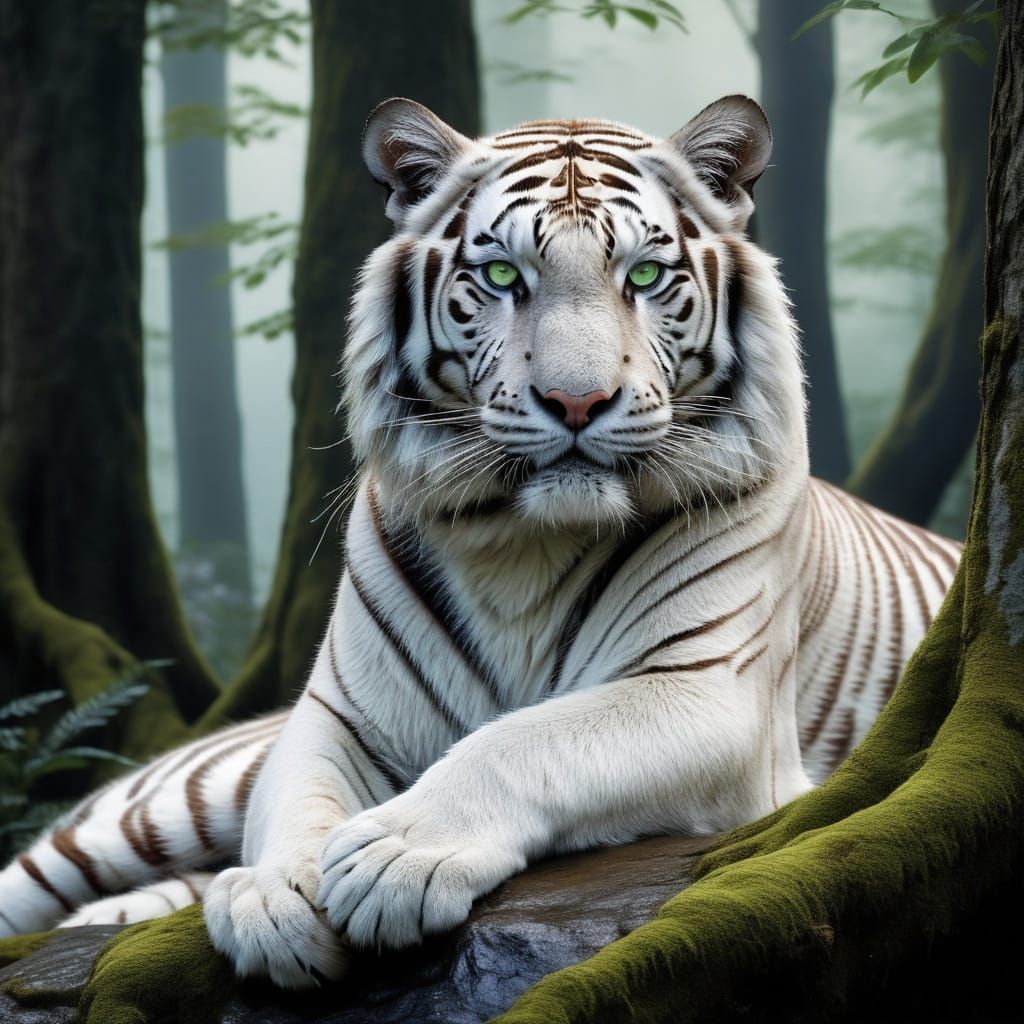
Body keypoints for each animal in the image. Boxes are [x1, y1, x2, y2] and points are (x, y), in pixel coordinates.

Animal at [0, 95, 961, 990]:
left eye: (646, 274)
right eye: (502, 274)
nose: (577, 402)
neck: (521, 545)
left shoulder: (707, 693)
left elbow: (527, 740)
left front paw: (393, 854)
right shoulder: (337, 714)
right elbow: (301, 793)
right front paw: (278, 894)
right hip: (172, 799)